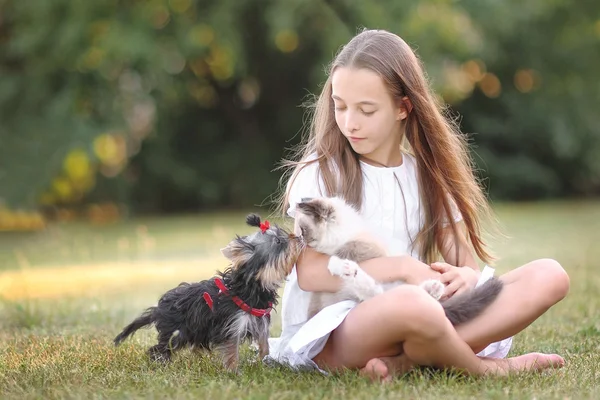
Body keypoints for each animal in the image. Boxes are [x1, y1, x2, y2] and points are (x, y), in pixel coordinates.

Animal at [112, 214, 302, 370]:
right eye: (278, 242)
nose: (299, 237)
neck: (251, 286)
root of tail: (158, 310)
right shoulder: (232, 324)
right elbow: (232, 349)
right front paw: (234, 372)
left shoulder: (259, 321)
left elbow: (264, 344)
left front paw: (262, 361)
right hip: (178, 330)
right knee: (162, 347)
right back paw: (160, 363)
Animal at [294, 196, 502, 324]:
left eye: (303, 231)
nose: (300, 241)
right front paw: (338, 264)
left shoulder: (369, 247)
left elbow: (346, 250)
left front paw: (335, 263)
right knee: (375, 292)